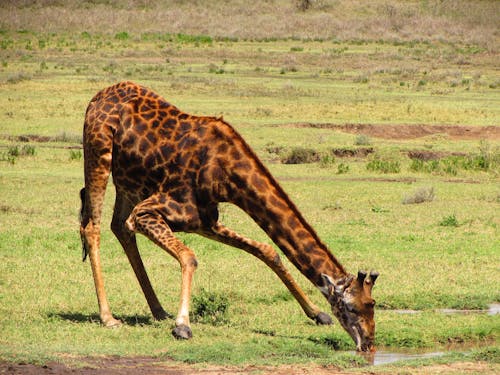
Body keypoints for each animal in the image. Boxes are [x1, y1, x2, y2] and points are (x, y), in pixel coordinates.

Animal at [80, 81, 380, 352]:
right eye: (352, 308)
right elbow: (189, 257)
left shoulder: (204, 221)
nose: (368, 343)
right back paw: (109, 318)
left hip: (127, 182)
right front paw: (182, 325)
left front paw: (317, 313)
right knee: (92, 227)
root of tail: (96, 98)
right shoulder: (146, 212)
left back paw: (159, 310)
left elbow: (267, 251)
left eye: (373, 304)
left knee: (118, 226)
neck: (224, 173)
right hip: (99, 153)